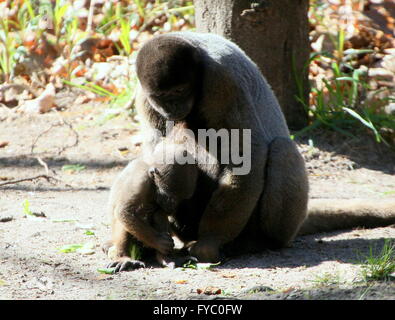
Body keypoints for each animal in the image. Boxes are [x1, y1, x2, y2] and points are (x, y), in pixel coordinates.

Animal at [104, 132, 198, 270]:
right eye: (170, 197)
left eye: (182, 199)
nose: (173, 208)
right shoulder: (139, 180)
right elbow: (124, 211)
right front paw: (158, 242)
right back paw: (123, 258)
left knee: (158, 212)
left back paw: (166, 258)